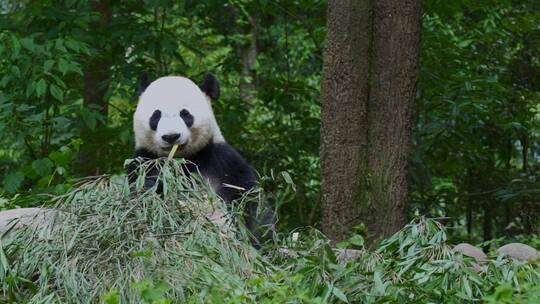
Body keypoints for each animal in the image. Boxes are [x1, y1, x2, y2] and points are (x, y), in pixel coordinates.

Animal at [128, 73, 272, 247]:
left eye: (185, 114)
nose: (171, 136)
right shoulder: (144, 161)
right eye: (156, 115)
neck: (183, 160)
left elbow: (249, 201)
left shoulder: (222, 160)